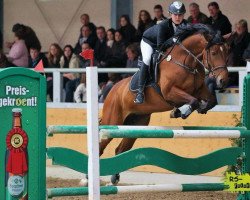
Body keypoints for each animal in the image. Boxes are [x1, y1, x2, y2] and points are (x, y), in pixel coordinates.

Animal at [99, 23, 229, 184]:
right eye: (214, 52)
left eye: (227, 52)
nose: (223, 81)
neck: (186, 62)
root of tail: (113, 90)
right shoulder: (170, 92)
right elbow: (192, 100)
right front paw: (180, 112)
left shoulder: (199, 90)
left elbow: (211, 100)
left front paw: (198, 108)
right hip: (112, 121)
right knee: (101, 146)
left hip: (136, 125)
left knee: (121, 149)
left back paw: (114, 177)